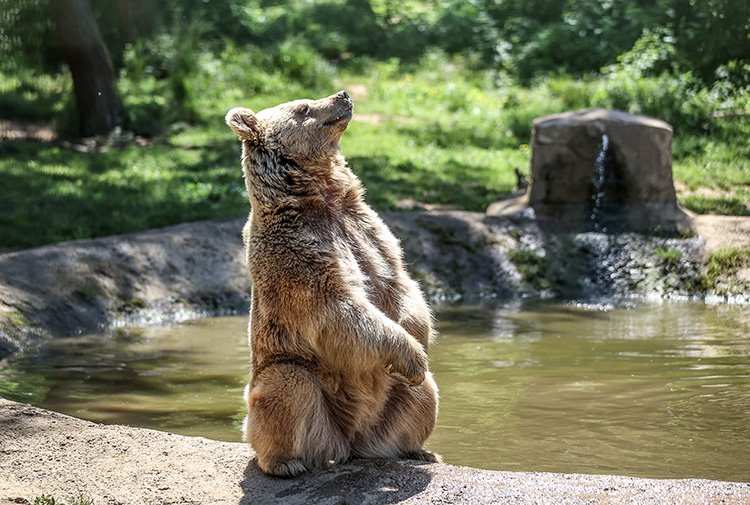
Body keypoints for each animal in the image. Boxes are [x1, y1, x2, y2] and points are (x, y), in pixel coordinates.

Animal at [226, 91, 444, 476]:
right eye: (302, 107)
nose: (342, 95)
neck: (321, 197)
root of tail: (350, 441)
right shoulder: (297, 252)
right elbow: (339, 307)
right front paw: (412, 354)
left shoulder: (366, 229)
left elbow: (398, 282)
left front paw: (419, 338)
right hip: (297, 385)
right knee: (288, 387)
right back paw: (285, 462)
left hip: (390, 402)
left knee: (424, 394)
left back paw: (417, 451)